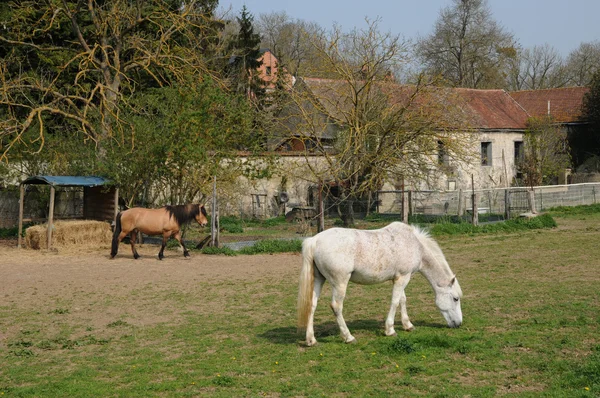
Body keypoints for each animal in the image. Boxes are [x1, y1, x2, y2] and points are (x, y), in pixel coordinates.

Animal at [298, 222, 462, 346]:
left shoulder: (400, 278)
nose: (459, 324)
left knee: (312, 305)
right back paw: (348, 337)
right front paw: (390, 330)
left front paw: (408, 325)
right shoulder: (403, 277)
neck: (414, 244)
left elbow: (402, 300)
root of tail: (314, 241)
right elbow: (395, 301)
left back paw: (311, 340)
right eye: (455, 298)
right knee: (336, 306)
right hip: (340, 283)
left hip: (319, 280)